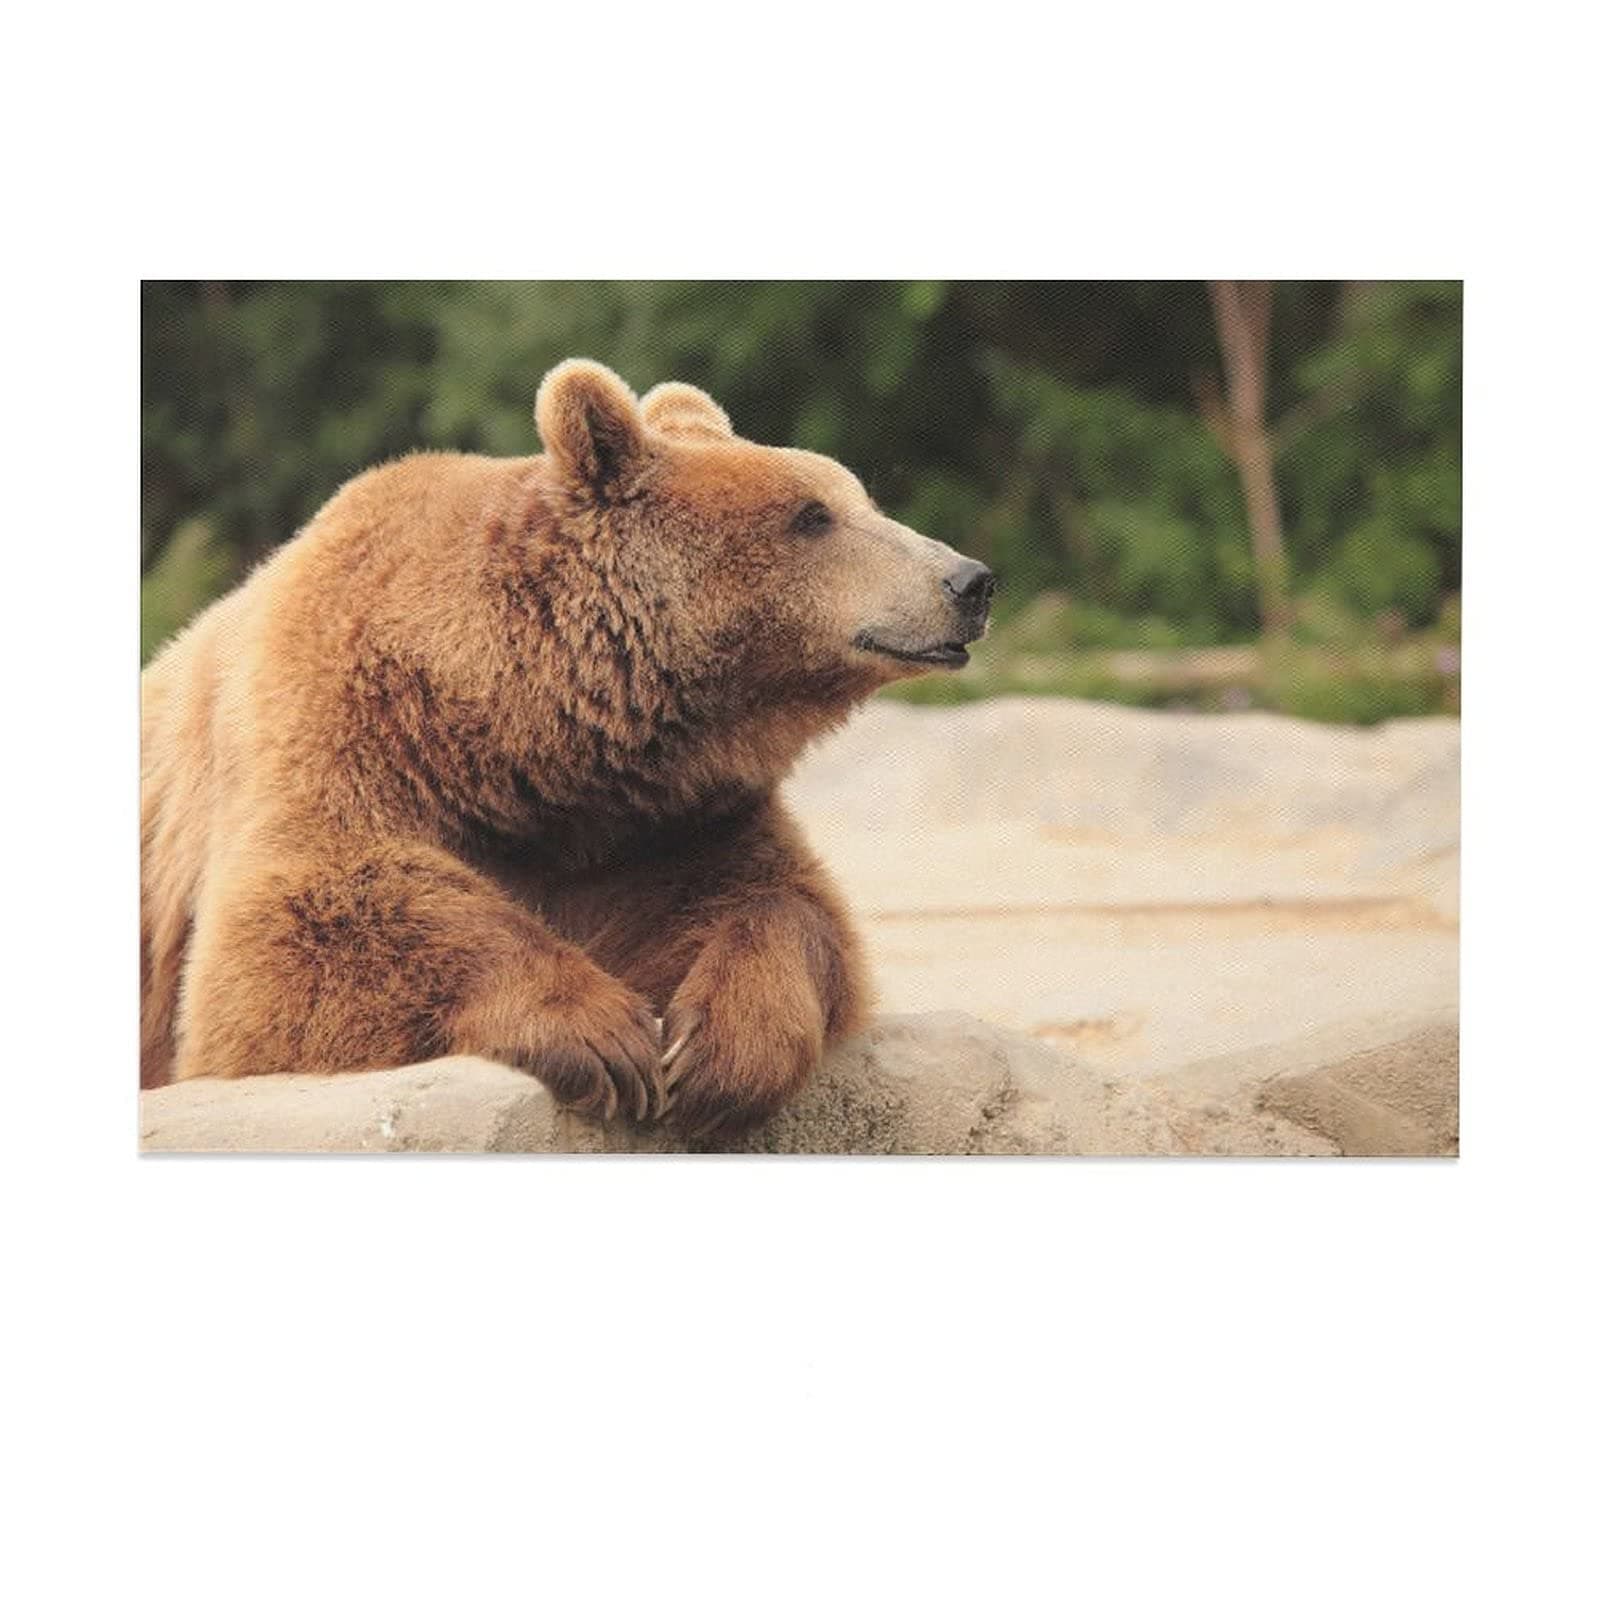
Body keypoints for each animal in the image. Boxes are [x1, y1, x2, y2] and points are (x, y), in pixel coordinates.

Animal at [140, 359, 995, 1136]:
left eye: (861, 499)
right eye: (812, 516)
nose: (969, 581)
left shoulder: (662, 824)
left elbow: (783, 903)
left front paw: (714, 1052)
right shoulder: (337, 726)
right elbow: (298, 926)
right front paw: (604, 1039)